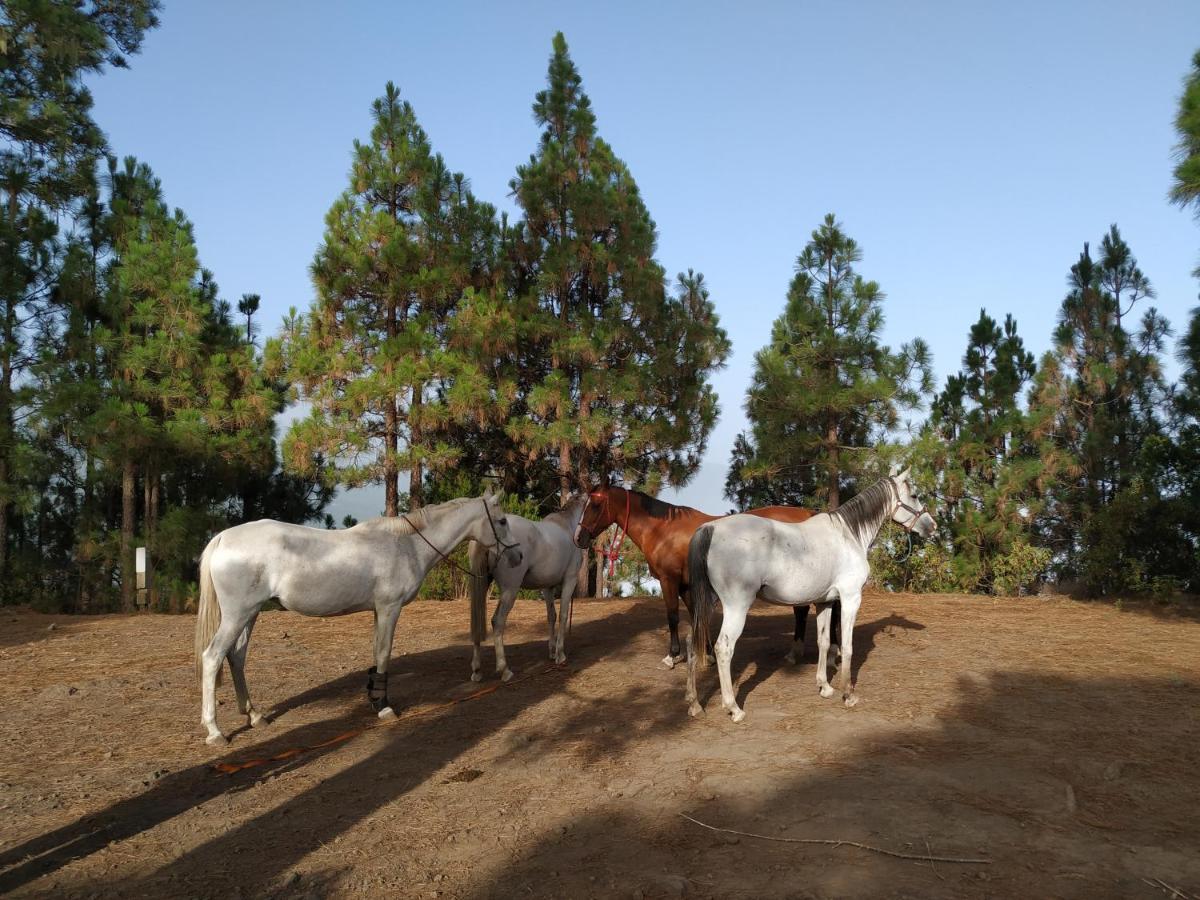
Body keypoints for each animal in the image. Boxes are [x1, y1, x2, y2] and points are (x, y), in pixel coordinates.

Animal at [193, 494, 520, 748]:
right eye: (502, 521)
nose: (516, 556)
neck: (406, 544)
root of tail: (222, 538)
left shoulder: (378, 610)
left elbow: (376, 652)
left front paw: (374, 700)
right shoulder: (389, 608)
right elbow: (384, 653)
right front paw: (384, 708)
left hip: (250, 614)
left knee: (236, 656)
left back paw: (255, 716)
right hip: (238, 615)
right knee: (213, 657)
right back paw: (215, 731)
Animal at [465, 496, 588, 681]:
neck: (566, 525)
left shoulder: (548, 587)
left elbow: (551, 616)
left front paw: (552, 652)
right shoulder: (570, 580)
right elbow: (563, 615)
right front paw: (560, 655)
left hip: (482, 584)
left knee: (477, 623)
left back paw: (477, 670)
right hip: (510, 590)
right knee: (497, 621)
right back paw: (505, 670)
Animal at [573, 487, 844, 672]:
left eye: (595, 505)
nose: (578, 538)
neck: (664, 531)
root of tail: (808, 513)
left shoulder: (669, 581)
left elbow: (673, 617)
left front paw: (673, 656)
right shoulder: (687, 585)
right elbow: (696, 616)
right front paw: (708, 653)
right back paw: (811, 653)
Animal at [686, 472, 936, 724]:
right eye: (914, 495)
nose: (932, 526)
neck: (848, 535)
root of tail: (711, 528)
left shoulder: (824, 602)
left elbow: (824, 642)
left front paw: (824, 687)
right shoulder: (850, 598)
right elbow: (847, 646)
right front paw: (848, 694)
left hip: (708, 604)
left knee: (691, 641)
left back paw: (694, 704)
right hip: (736, 607)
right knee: (723, 648)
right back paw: (733, 708)